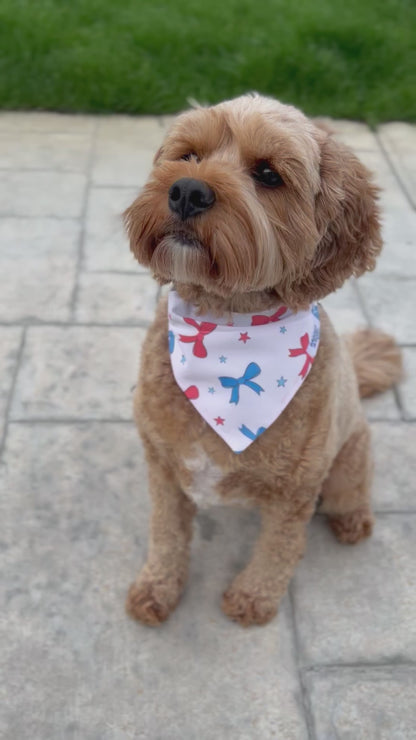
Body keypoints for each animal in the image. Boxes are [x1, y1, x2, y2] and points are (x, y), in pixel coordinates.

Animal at [122, 91, 402, 624]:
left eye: (269, 174)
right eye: (188, 155)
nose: (186, 191)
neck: (224, 328)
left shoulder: (295, 492)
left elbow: (279, 549)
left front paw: (252, 599)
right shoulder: (163, 467)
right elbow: (166, 533)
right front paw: (156, 589)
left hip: (347, 461)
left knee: (351, 495)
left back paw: (353, 522)